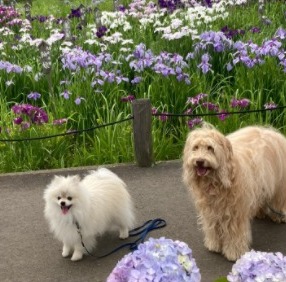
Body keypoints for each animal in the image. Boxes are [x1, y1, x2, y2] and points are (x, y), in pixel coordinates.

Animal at [182, 124, 286, 262]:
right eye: (195, 148)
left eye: (210, 148)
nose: (199, 161)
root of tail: (271, 132)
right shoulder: (211, 212)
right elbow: (213, 228)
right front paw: (214, 244)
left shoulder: (235, 214)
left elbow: (235, 234)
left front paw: (234, 253)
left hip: (280, 185)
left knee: (279, 200)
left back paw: (279, 215)